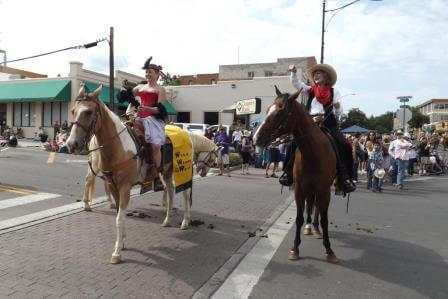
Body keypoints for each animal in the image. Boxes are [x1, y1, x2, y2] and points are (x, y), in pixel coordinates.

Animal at [68, 85, 217, 264]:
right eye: (73, 111)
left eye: (89, 112)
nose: (71, 144)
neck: (118, 146)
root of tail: (186, 134)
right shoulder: (113, 185)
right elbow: (119, 214)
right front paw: (122, 243)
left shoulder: (125, 187)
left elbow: (119, 218)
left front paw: (117, 252)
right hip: (166, 172)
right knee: (171, 191)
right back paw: (167, 220)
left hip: (181, 172)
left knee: (186, 194)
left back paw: (185, 222)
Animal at [256, 85, 340, 264]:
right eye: (267, 109)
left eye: (280, 112)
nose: (256, 138)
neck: (313, 153)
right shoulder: (299, 190)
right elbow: (299, 218)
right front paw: (295, 248)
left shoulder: (325, 191)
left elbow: (324, 219)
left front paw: (329, 250)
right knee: (311, 205)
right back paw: (309, 227)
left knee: (316, 208)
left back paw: (315, 229)